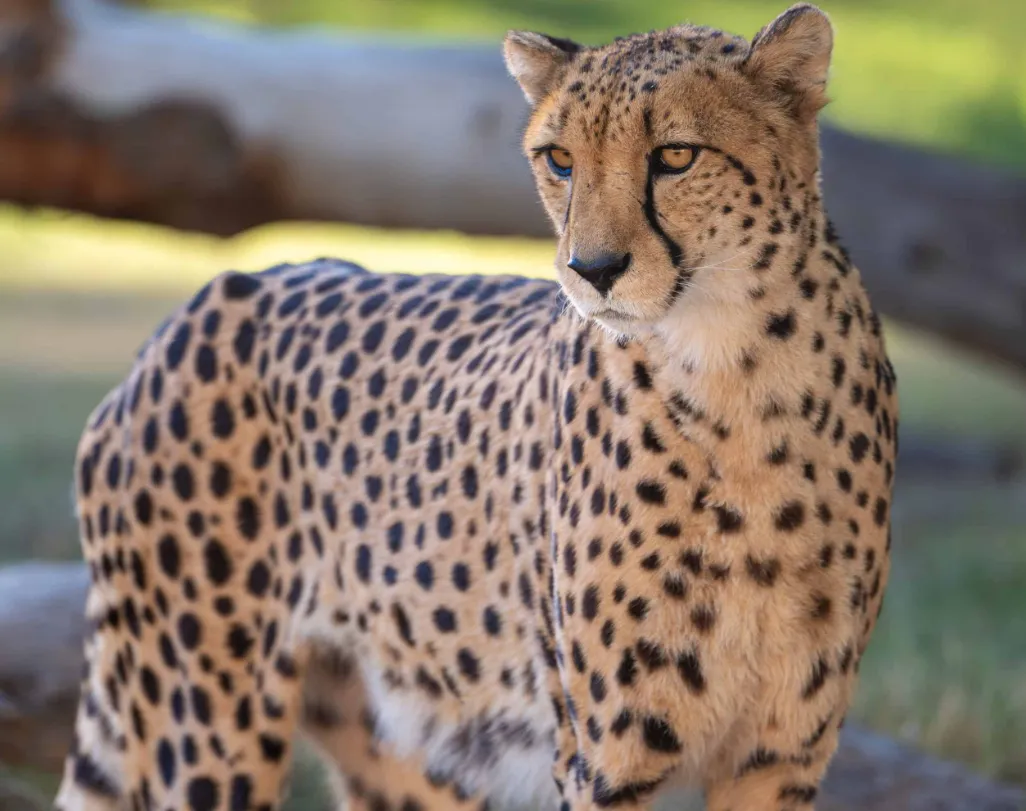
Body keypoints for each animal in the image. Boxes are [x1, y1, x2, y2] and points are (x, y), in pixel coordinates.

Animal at [54, 4, 898, 810]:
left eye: (676, 156)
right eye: (560, 160)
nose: (592, 269)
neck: (736, 373)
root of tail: (203, 302)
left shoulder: (778, 758)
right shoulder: (604, 759)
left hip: (403, 748)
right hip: (207, 727)